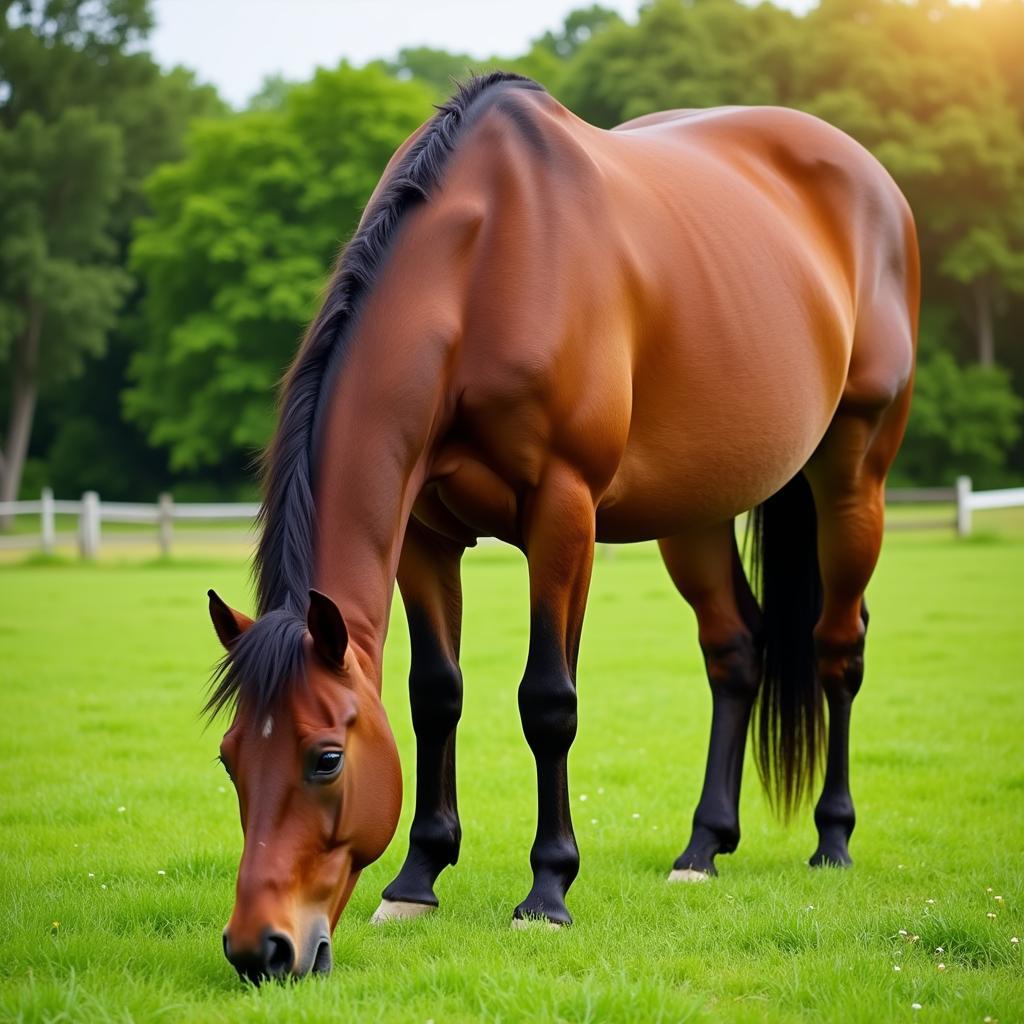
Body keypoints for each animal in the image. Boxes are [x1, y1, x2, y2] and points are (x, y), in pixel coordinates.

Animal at [205, 74, 921, 983]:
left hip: (853, 476)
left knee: (839, 646)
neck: (482, 267)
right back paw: (702, 849)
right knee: (735, 649)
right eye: (231, 758)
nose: (261, 948)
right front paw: (417, 879)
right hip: (695, 512)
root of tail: (876, 183)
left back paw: (832, 839)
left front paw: (546, 893)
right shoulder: (425, 537)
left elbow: (547, 701)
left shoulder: (562, 513)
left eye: (326, 757)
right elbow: (435, 694)